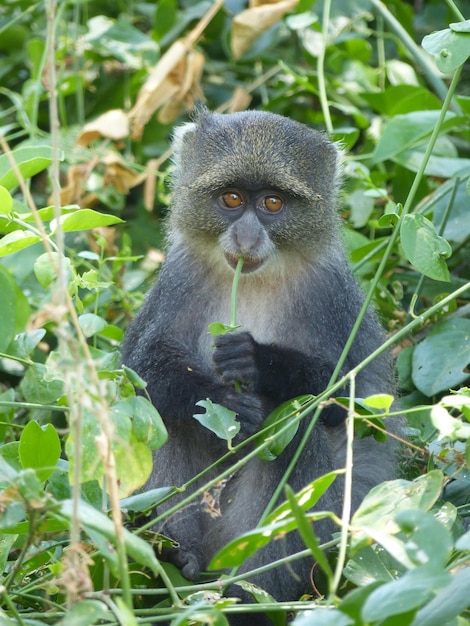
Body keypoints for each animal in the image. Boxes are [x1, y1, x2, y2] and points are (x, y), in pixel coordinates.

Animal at [121, 109, 396, 620]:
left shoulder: (334, 297)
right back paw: (178, 557)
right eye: (231, 199)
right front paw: (221, 398)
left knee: (296, 429)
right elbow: (140, 373)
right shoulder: (177, 279)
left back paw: (246, 594)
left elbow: (356, 405)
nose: (247, 236)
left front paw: (262, 364)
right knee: (164, 415)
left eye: (272, 203)